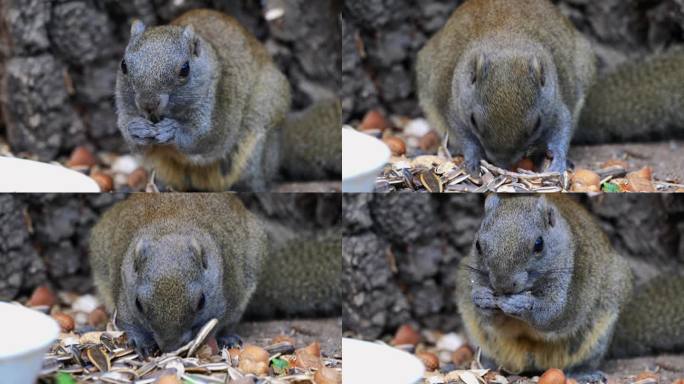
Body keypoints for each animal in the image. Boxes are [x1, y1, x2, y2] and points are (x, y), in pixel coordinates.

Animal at [89, 194, 340, 356]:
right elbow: (127, 322)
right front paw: (142, 343)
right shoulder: (124, 294)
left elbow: (216, 324)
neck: (171, 226)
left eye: (201, 302)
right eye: (139, 304)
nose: (170, 347)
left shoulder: (223, 299)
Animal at [416, 0, 684, 176]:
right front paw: (472, 159)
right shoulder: (454, 105)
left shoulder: (555, 106)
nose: (502, 163)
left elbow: (562, 129)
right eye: (474, 121)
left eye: (536, 124)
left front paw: (559, 163)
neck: (505, 37)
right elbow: (461, 133)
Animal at [456, 196, 684, 380]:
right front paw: (482, 299)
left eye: (539, 244)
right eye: (477, 245)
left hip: (598, 331)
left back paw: (583, 373)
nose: (503, 286)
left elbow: (554, 314)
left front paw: (522, 304)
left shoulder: (574, 283)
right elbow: (492, 320)